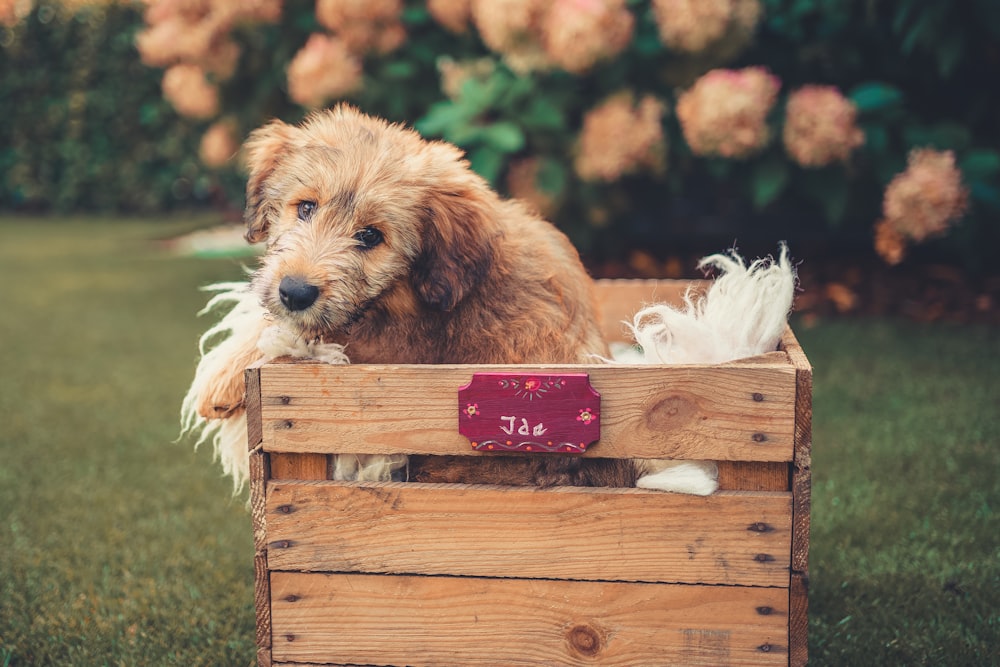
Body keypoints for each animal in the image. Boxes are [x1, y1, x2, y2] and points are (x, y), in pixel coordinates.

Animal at [199, 107, 648, 488]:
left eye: (370, 236)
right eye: (306, 207)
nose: (295, 292)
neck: (405, 291)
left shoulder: (394, 346)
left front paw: (218, 380)